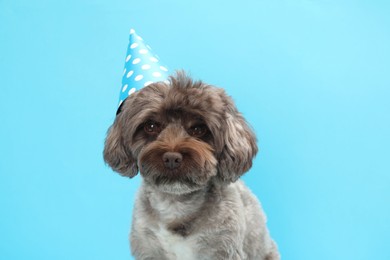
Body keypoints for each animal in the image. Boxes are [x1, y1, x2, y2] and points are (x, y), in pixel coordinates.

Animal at [103, 71, 280, 260]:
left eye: (198, 129)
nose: (172, 158)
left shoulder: (223, 250)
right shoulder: (148, 248)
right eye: (151, 126)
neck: (176, 204)